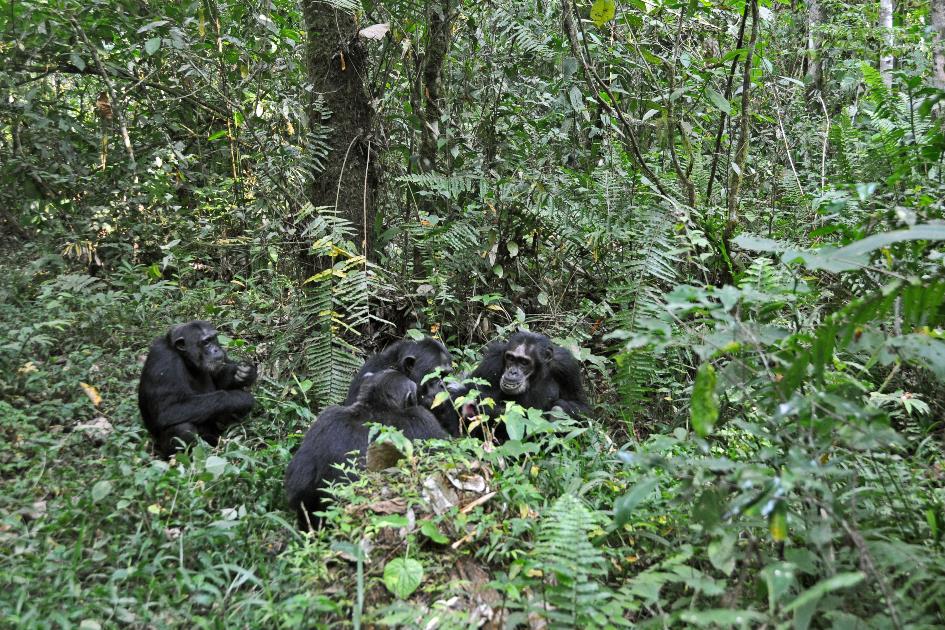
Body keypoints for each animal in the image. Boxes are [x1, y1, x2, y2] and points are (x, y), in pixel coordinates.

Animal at [138, 320, 256, 460]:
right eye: (205, 342)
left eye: (214, 338)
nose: (216, 349)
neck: (185, 359)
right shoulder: (163, 361)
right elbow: (168, 409)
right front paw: (239, 399)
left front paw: (244, 373)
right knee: (183, 429)